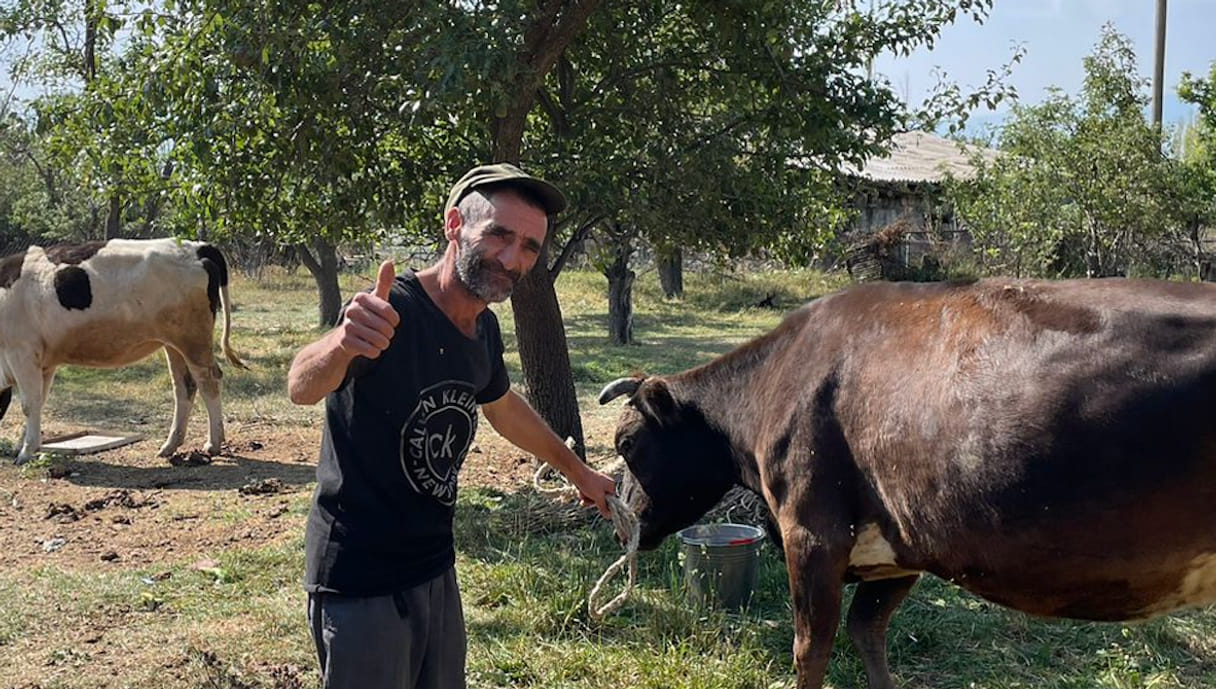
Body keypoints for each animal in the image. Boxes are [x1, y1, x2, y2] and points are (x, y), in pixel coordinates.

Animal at [0, 239, 246, 466]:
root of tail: (198, 247)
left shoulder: (22, 352)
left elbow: (29, 404)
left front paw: (25, 452)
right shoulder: (46, 362)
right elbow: (39, 401)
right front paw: (24, 444)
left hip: (194, 340)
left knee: (209, 381)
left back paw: (213, 443)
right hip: (174, 344)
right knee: (185, 387)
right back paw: (170, 445)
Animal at [598, 279, 1216, 689]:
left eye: (627, 444)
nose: (618, 524)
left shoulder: (812, 531)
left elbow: (810, 649)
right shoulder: (899, 549)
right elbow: (867, 632)